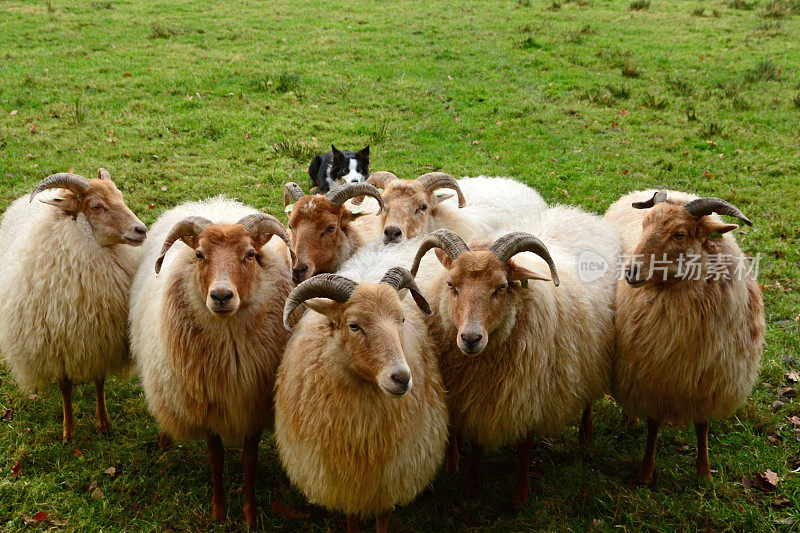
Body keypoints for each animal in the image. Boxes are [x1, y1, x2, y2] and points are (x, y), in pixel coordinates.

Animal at [0, 169, 147, 440]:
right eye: (95, 206)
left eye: (120, 196)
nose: (141, 230)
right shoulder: (59, 347)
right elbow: (65, 388)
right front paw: (68, 431)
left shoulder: (101, 339)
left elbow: (99, 381)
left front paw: (104, 422)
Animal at [130, 195, 296, 524]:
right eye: (199, 254)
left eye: (250, 254)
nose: (221, 296)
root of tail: (211, 203)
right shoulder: (206, 406)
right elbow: (216, 458)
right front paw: (219, 512)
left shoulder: (252, 403)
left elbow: (249, 461)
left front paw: (249, 515)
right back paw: (165, 439)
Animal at [276, 266, 450, 532]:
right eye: (354, 325)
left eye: (401, 320)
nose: (401, 378)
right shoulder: (346, 482)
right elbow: (351, 518)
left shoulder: (390, 478)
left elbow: (383, 518)